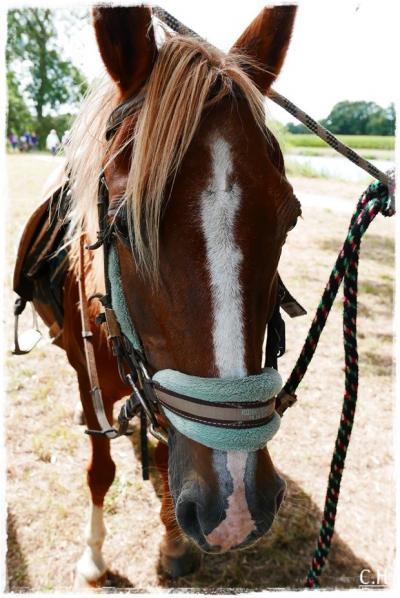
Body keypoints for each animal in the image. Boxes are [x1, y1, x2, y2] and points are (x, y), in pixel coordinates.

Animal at [15, 3, 304, 592]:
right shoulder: (90, 381)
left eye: (288, 220)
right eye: (124, 228)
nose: (237, 508)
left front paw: (172, 542)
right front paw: (94, 558)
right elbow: (100, 469)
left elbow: (172, 455)